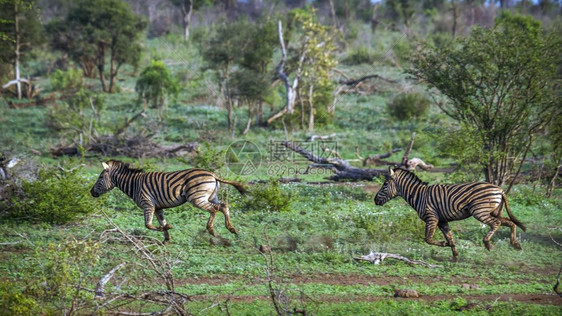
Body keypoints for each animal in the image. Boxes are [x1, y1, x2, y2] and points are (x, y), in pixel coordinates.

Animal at [90, 159, 245, 243]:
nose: (91, 192)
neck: (134, 184)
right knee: (224, 206)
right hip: (211, 196)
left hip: (197, 198)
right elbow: (161, 222)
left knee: (214, 209)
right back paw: (231, 229)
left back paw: (212, 231)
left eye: (100, 178)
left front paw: (168, 229)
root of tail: (213, 174)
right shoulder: (158, 207)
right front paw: (166, 239)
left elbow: (148, 225)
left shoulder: (148, 204)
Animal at [372, 168, 524, 260]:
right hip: (494, 211)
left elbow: (428, 239)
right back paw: (515, 244)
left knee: (496, 223)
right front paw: (455, 257)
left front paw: (444, 245)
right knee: (510, 222)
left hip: (480, 211)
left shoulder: (432, 218)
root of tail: (500, 190)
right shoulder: (442, 221)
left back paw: (488, 244)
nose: (375, 200)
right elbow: (450, 238)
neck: (419, 195)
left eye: (385, 184)